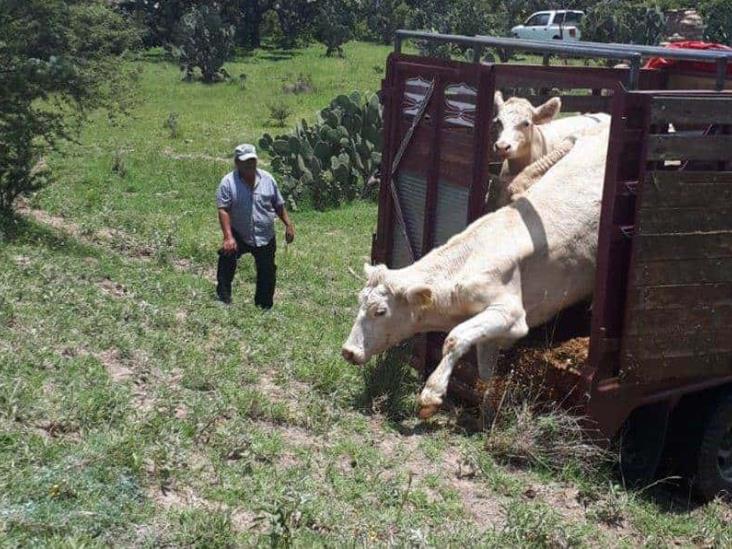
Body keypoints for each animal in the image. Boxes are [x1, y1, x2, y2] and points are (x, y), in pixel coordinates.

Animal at [344, 124, 612, 416]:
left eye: (380, 311)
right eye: (359, 302)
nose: (348, 351)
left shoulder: (511, 314)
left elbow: (454, 337)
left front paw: (431, 395)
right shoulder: (494, 336)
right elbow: (485, 372)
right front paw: (488, 407)